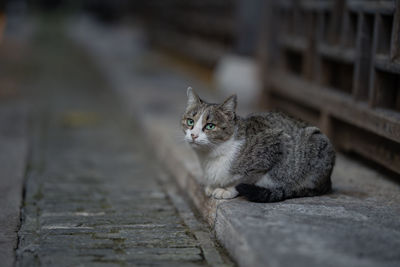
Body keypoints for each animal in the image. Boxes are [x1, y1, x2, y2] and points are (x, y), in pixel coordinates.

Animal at [181, 88, 334, 203]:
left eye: (210, 126)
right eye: (190, 122)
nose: (193, 135)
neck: (212, 154)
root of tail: (328, 181)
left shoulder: (277, 143)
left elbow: (246, 178)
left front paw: (227, 190)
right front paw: (212, 186)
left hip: (315, 140)